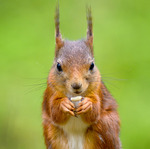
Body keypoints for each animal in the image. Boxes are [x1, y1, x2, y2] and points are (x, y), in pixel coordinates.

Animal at [41, 4, 121, 149]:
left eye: (92, 65)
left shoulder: (97, 90)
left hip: (106, 125)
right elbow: (55, 112)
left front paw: (88, 104)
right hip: (52, 132)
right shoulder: (51, 92)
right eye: (58, 66)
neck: (74, 97)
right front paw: (63, 104)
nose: (76, 86)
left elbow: (95, 112)